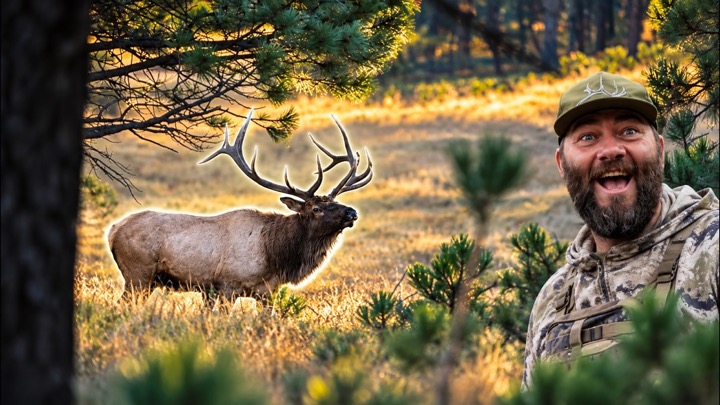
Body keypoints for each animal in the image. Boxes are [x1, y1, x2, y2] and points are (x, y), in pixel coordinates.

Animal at [107, 109, 372, 299]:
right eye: (316, 209)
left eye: (337, 202)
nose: (352, 212)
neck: (276, 255)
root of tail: (112, 230)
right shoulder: (227, 285)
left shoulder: (267, 292)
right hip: (138, 273)